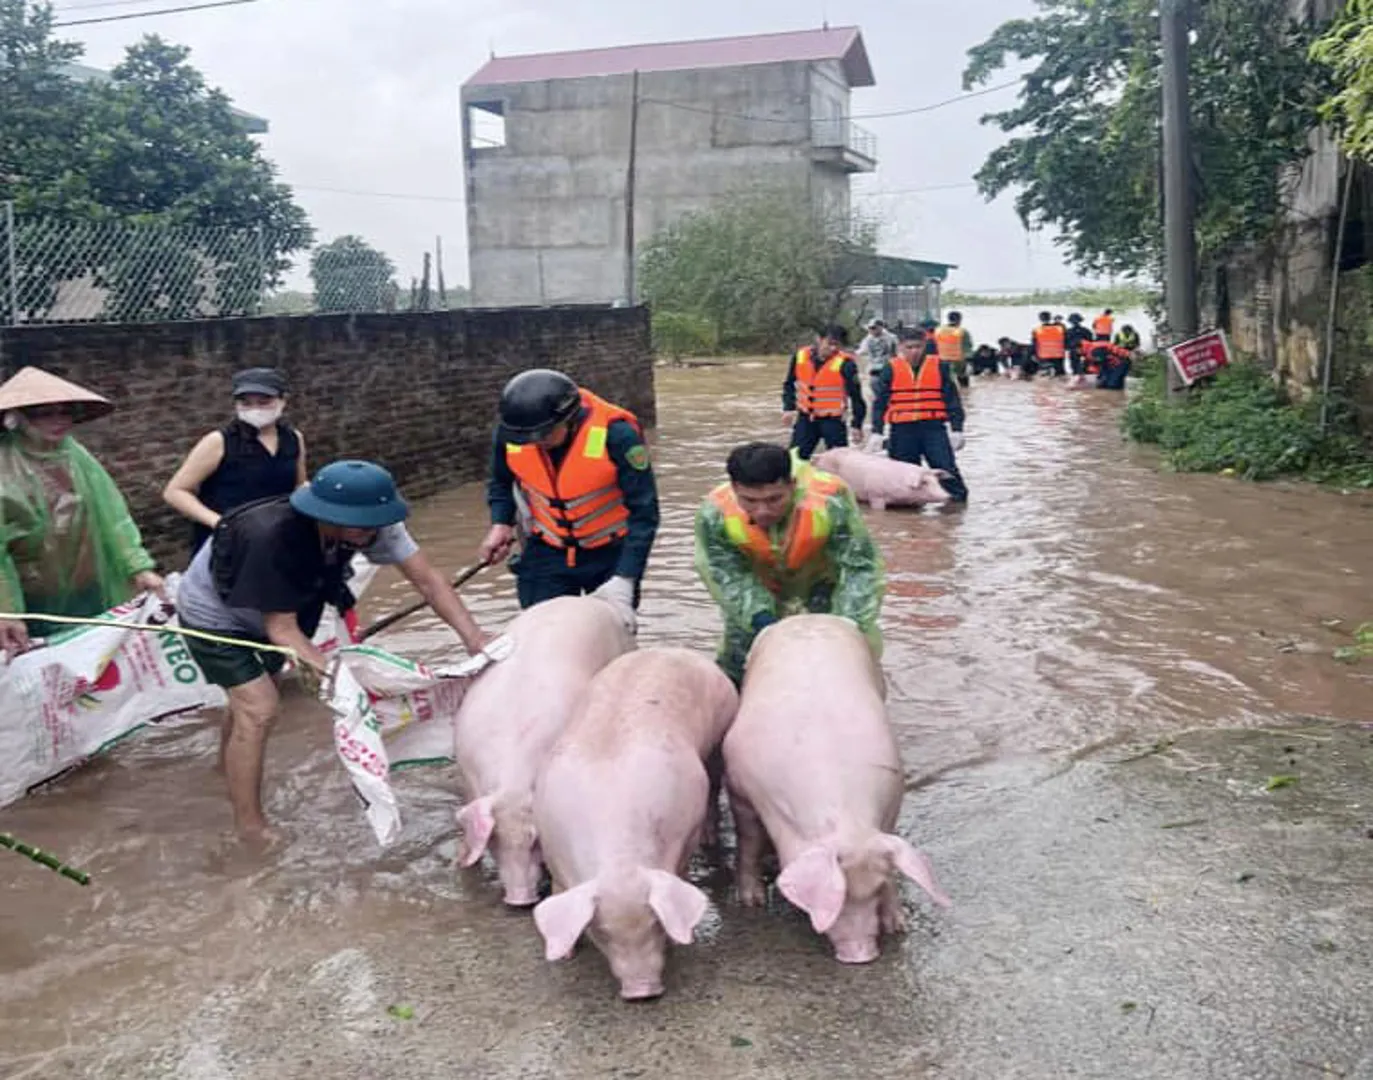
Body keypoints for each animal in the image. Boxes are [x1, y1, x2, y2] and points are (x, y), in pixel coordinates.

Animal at [529, 644, 741, 999]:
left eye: (655, 923)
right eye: (601, 932)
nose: (641, 991)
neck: (619, 859)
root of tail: (671, 650)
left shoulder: (683, 836)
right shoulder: (553, 851)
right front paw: (568, 954)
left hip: (720, 733)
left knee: (714, 784)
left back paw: (711, 837)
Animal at [724, 617, 950, 960]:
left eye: (876, 890)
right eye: (838, 898)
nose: (861, 954)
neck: (846, 817)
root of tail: (808, 617)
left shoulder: (892, 802)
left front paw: (898, 927)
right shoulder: (740, 789)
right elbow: (748, 842)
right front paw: (752, 903)